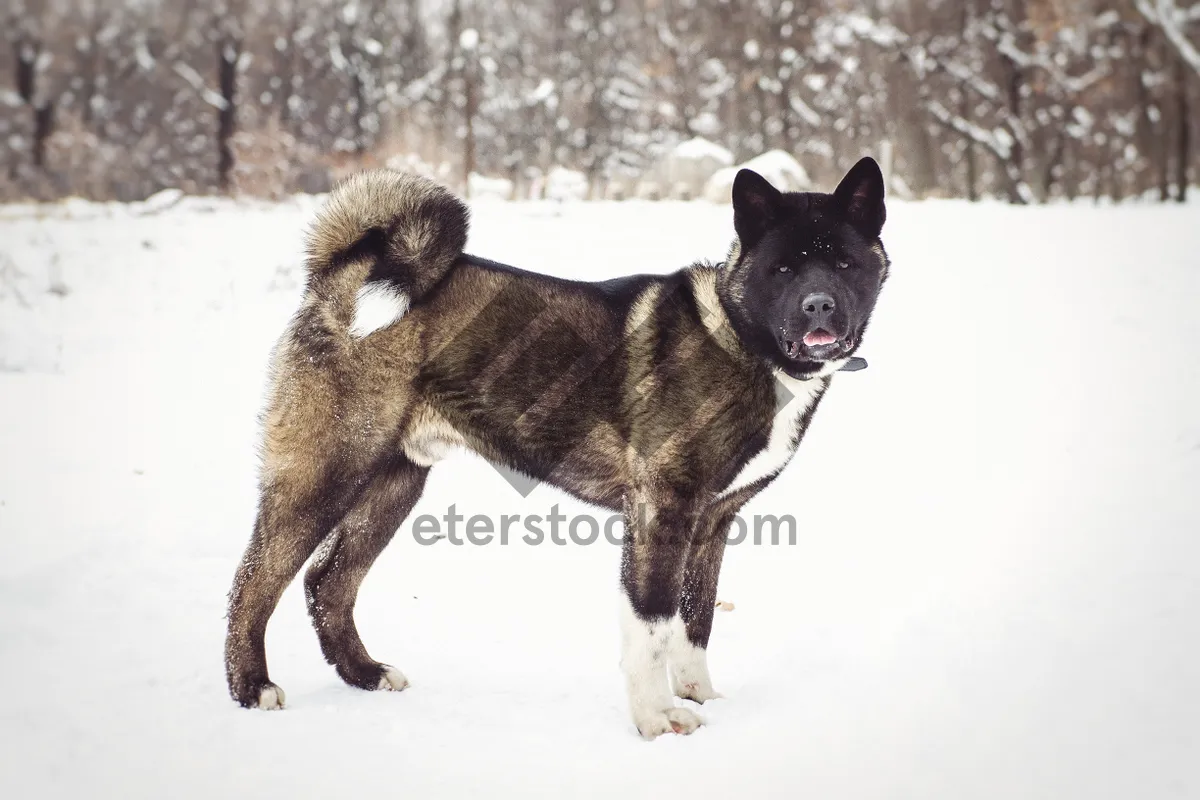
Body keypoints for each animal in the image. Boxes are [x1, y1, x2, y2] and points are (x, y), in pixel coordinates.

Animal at [225, 159, 888, 743]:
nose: (819, 305)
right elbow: (652, 624)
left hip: (394, 485)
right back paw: (251, 687)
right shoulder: (661, 511)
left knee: (328, 584)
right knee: (253, 584)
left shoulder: (714, 521)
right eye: (783, 269)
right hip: (324, 477)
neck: (740, 338)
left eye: (844, 263)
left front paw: (699, 695)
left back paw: (365, 674)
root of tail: (337, 277)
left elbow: (694, 621)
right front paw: (656, 719)